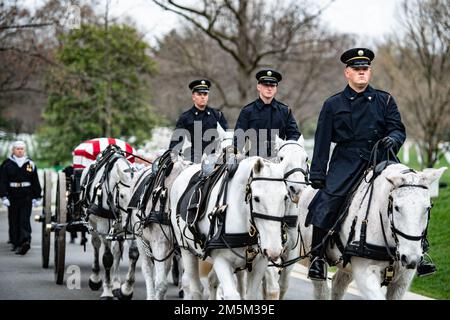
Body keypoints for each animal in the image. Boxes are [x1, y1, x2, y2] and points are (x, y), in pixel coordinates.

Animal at [80, 148, 135, 300]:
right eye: (122, 195)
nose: (130, 224)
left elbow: (133, 253)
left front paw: (126, 289)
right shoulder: (104, 227)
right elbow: (107, 258)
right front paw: (107, 291)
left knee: (117, 250)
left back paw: (116, 283)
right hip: (93, 224)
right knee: (96, 244)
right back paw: (95, 278)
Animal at [171, 156, 290, 300]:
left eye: (285, 197)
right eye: (256, 198)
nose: (274, 250)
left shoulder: (260, 262)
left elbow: (251, 294)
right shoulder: (220, 260)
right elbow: (232, 295)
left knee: (212, 281)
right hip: (186, 250)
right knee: (195, 288)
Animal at [298, 165, 446, 300]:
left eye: (428, 208)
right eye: (397, 207)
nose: (411, 258)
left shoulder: (402, 280)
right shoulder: (365, 273)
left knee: (338, 284)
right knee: (321, 290)